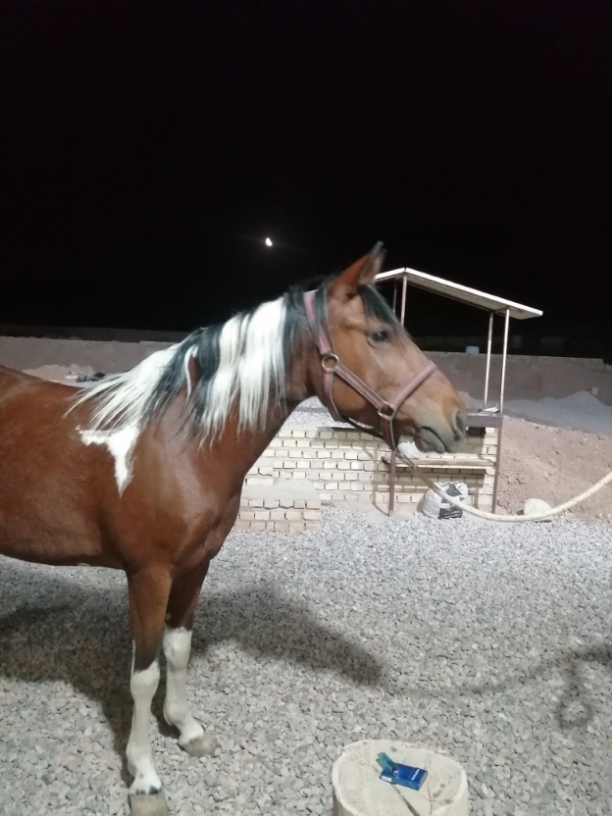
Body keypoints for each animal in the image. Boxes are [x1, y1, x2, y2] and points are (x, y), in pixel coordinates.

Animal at [0, 244, 467, 816]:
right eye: (380, 335)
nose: (458, 419)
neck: (178, 441)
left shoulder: (196, 566)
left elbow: (178, 651)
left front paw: (187, 730)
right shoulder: (148, 575)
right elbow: (144, 674)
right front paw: (145, 777)